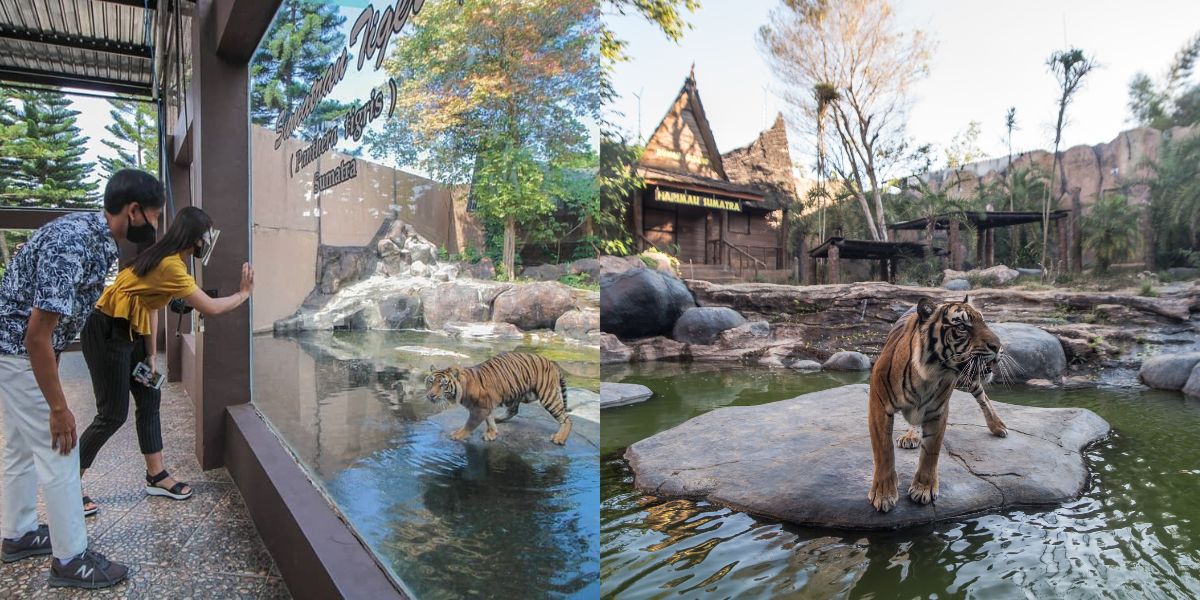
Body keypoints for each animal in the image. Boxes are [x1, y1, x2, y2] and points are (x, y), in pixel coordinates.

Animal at [424, 350, 573, 446]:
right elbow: (489, 419)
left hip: (548, 396)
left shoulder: (480, 409)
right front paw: (492, 433)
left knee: (566, 418)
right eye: (431, 382)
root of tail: (552, 362)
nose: (431, 395)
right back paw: (499, 418)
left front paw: (457, 435)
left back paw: (560, 438)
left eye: (443, 385)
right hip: (518, 392)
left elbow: (469, 424)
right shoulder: (486, 406)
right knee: (513, 410)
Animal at [868, 297, 1008, 513]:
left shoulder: (937, 411)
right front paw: (884, 495)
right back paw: (910, 436)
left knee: (982, 396)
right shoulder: (879, 405)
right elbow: (884, 451)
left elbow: (931, 453)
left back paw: (997, 425)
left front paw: (923, 489)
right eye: (961, 326)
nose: (998, 346)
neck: (927, 375)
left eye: (984, 322)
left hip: (971, 377)